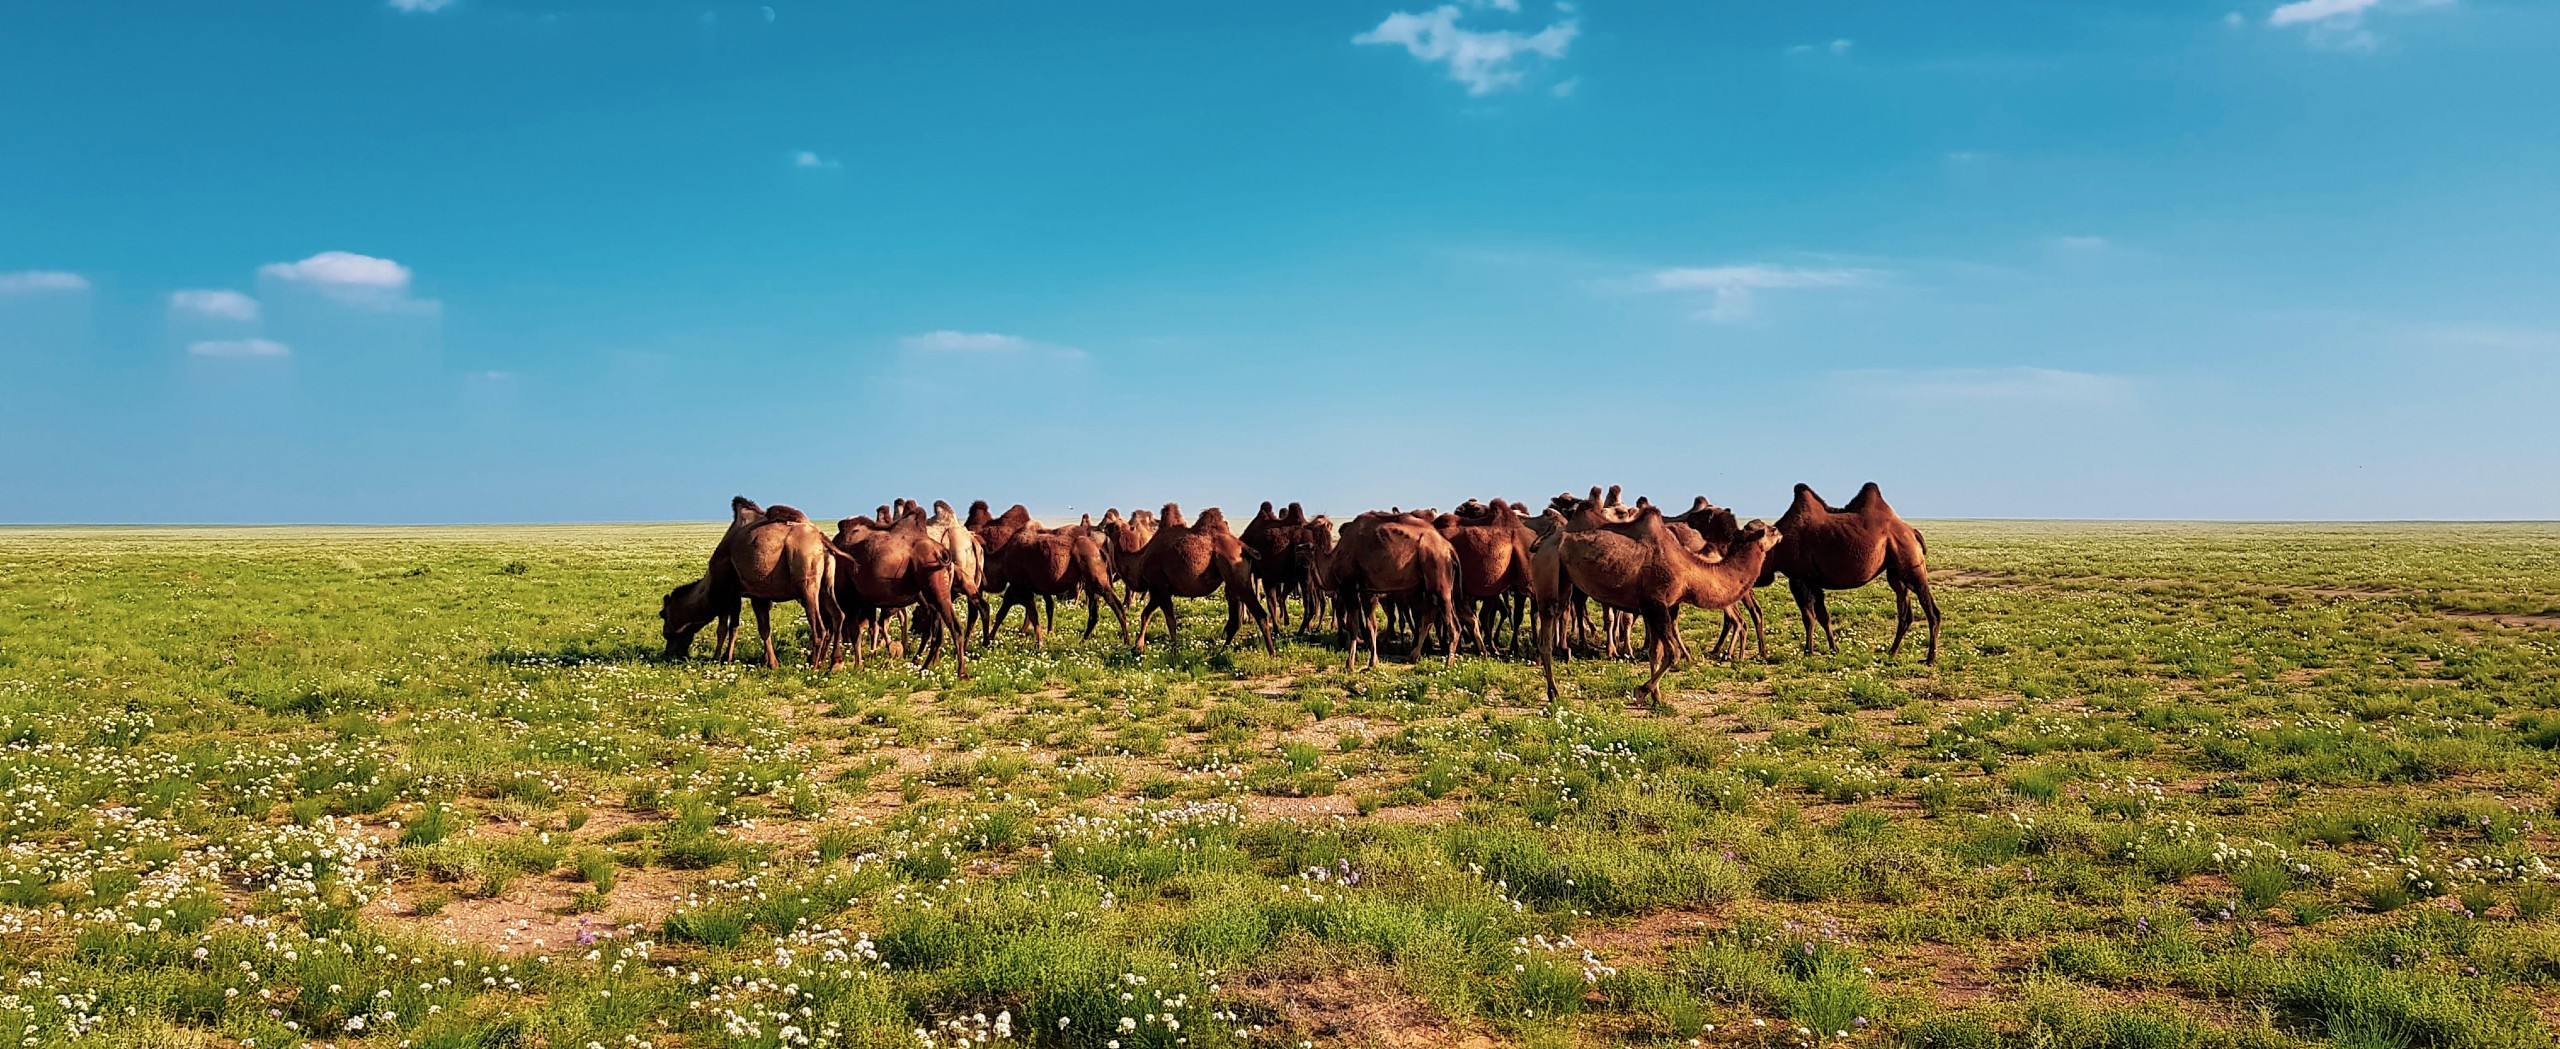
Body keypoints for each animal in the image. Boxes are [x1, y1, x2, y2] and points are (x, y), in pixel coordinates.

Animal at [665, 496, 844, 670]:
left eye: (663, 614)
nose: (668, 653)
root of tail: (821, 539)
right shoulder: (754, 595)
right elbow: (749, 627)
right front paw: (764, 661)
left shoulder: (726, 592)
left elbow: (724, 628)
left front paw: (718, 659)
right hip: (826, 585)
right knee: (838, 615)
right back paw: (833, 663)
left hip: (806, 582)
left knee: (819, 628)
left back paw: (812, 666)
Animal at [1126, 506, 1274, 654]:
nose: (1130, 525)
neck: (1142, 557)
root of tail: (1243, 546)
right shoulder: (1160, 590)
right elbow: (1147, 614)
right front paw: (1138, 646)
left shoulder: (1159, 586)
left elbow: (1168, 620)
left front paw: (1173, 652)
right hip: (1234, 580)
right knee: (1236, 618)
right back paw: (1221, 651)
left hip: (1236, 576)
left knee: (1260, 614)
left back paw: (1271, 653)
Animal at [1331, 509, 1454, 670]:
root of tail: (1448, 547)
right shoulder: (1367, 590)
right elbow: (1371, 624)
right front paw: (1372, 662)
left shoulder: (1348, 585)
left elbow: (1354, 624)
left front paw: (1350, 664)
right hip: (1431, 583)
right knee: (1429, 615)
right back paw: (1416, 655)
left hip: (1438, 575)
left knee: (1448, 621)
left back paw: (1447, 662)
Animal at [1536, 506, 1781, 701]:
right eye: (1770, 531)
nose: (1780, 533)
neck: (1689, 572)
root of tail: (1543, 543)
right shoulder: (1655, 604)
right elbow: (1673, 653)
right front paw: (1642, 690)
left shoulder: (1659, 607)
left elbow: (1656, 652)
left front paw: (1657, 697)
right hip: (1549, 567)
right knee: (1547, 626)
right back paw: (1553, 692)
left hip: (1565, 580)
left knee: (1559, 613)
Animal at [1771, 483, 1945, 665]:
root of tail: (1913, 532)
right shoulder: (1813, 581)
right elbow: (1823, 616)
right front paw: (1834, 650)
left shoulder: (1798, 577)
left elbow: (1808, 617)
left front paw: (1808, 653)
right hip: (1896, 572)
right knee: (1905, 612)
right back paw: (1892, 652)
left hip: (1912, 564)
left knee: (1932, 611)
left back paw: (1930, 658)